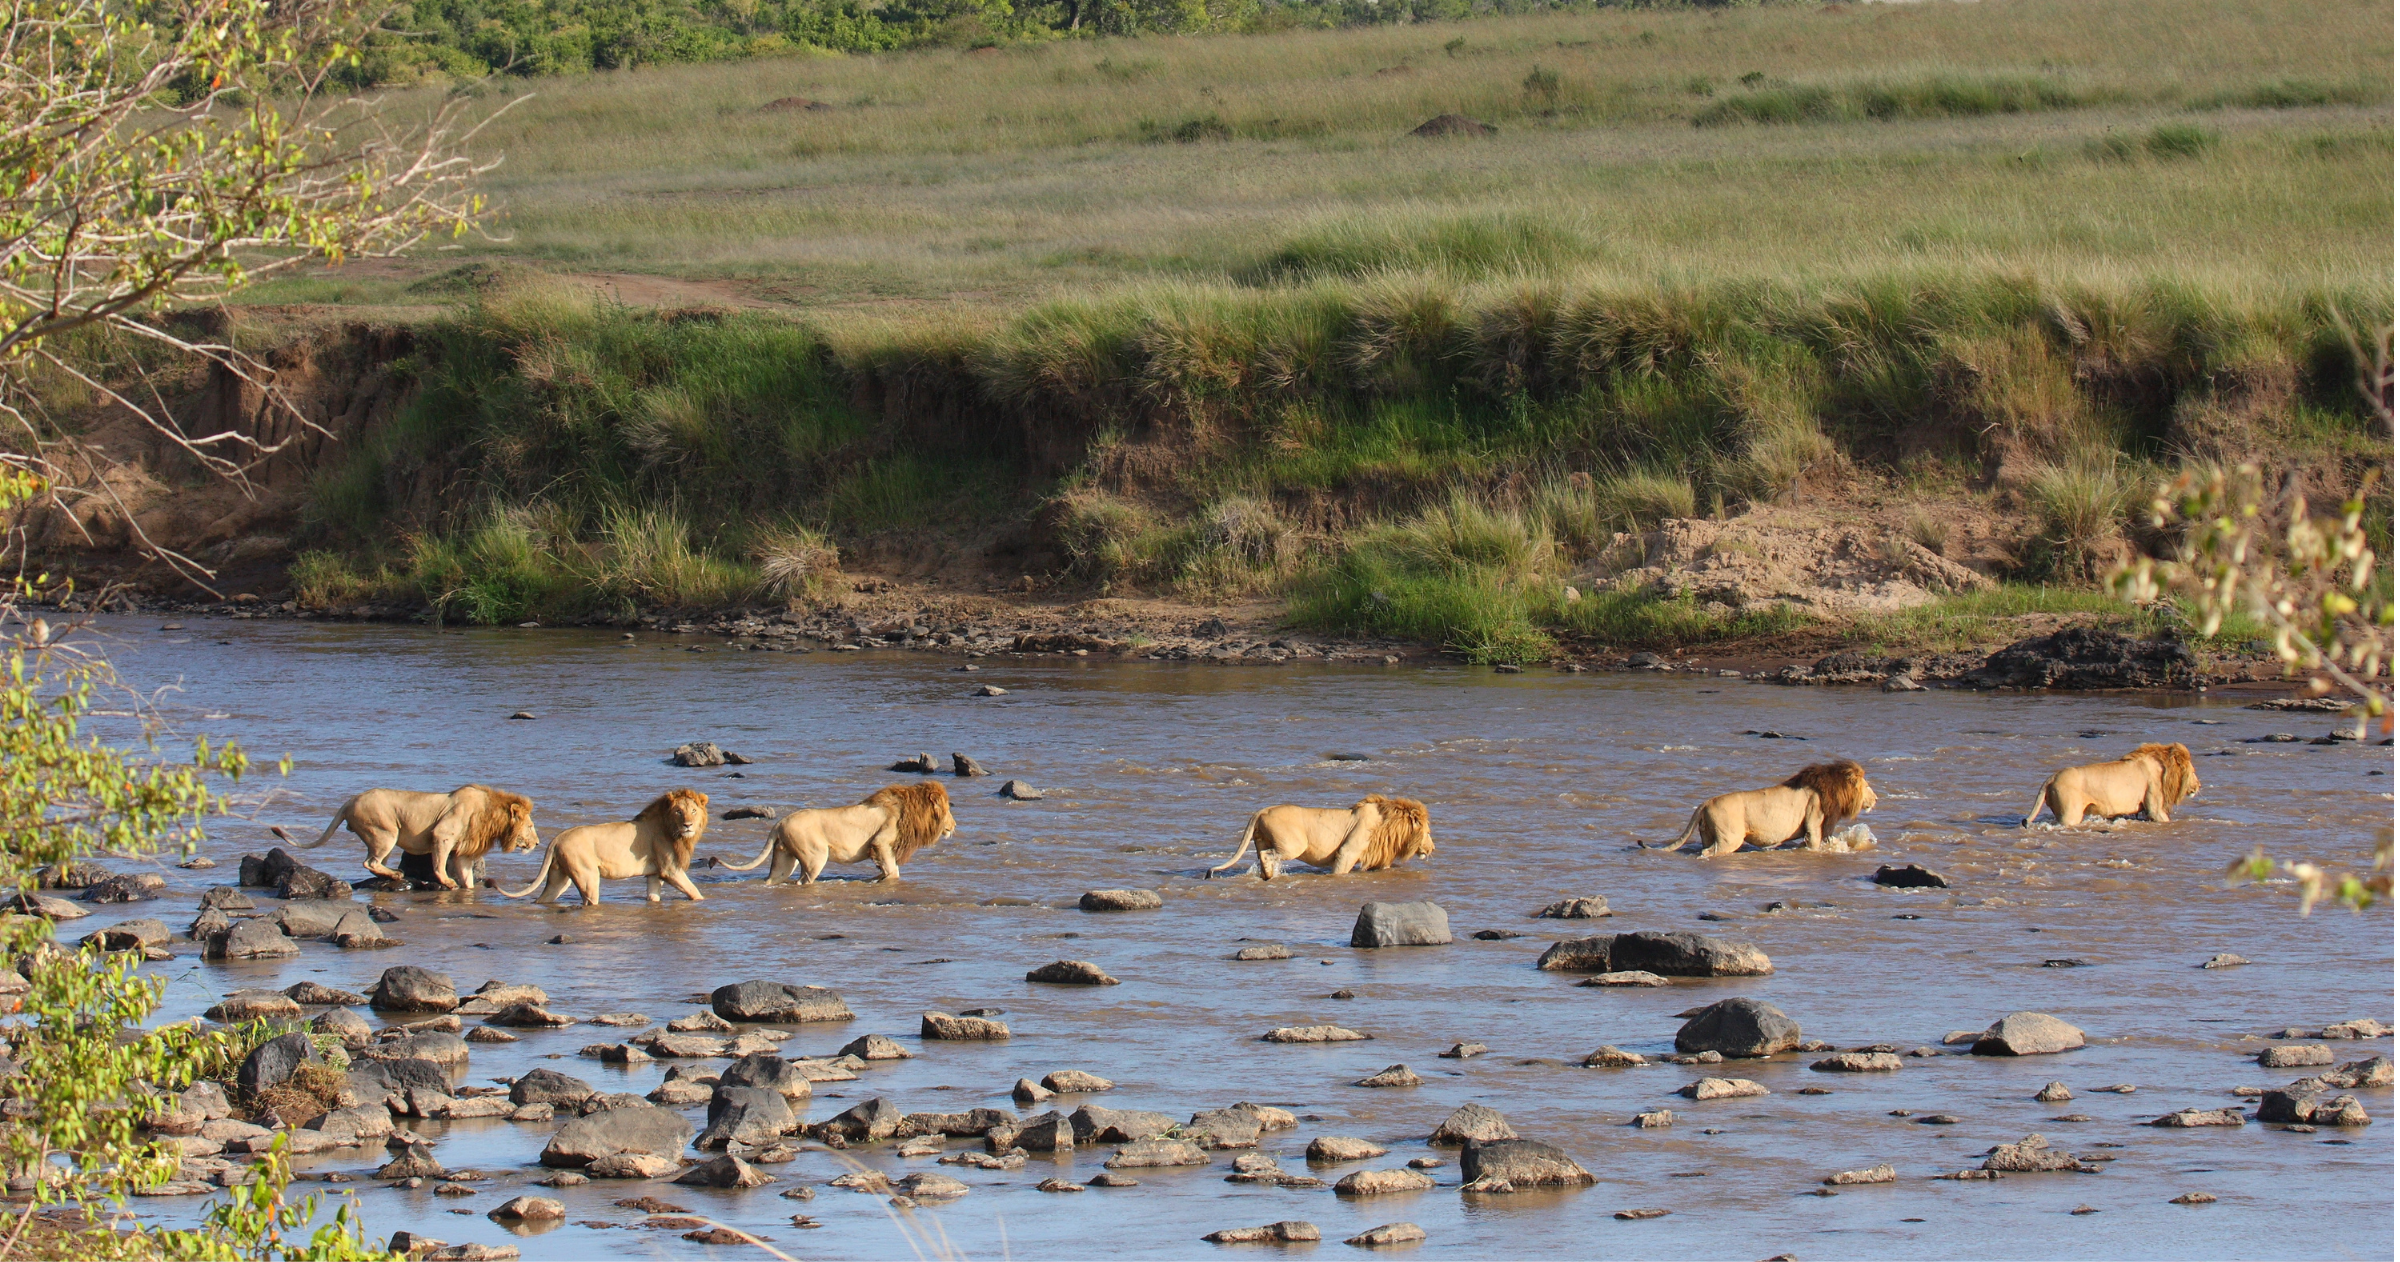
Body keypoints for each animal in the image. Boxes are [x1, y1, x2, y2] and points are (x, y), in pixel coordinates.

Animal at [306, 786, 538, 890]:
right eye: (530, 826)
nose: (537, 843)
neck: (491, 815)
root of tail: (350, 801)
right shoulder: (442, 834)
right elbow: (439, 864)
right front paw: (447, 882)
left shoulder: (463, 851)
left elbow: (467, 876)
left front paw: (469, 890)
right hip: (386, 833)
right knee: (369, 862)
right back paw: (396, 875)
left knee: (374, 864)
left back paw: (391, 874)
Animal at [488, 789, 709, 905]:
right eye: (679, 812)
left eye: (693, 811)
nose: (688, 825)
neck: (671, 829)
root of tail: (558, 838)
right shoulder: (670, 870)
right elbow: (695, 892)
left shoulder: (654, 875)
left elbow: (654, 896)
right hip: (587, 877)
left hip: (559, 878)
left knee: (544, 897)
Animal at [717, 783, 955, 885]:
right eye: (947, 809)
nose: (954, 826)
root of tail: (780, 822)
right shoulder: (880, 842)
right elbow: (893, 871)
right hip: (815, 856)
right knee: (803, 882)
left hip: (784, 860)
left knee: (773, 879)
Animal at [1205, 795, 1434, 880]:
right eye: (1429, 833)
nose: (1433, 849)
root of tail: (1262, 810)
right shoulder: (1348, 851)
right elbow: (1340, 869)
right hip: (1294, 845)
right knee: (1268, 855)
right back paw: (1271, 875)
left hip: (1261, 839)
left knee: (1262, 855)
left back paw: (1267, 875)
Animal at [1646, 761, 1878, 858]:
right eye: (1867, 786)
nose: (1876, 799)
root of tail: (1707, 802)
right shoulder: (1815, 820)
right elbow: (1814, 843)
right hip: (1730, 838)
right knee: (1708, 852)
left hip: (1708, 833)